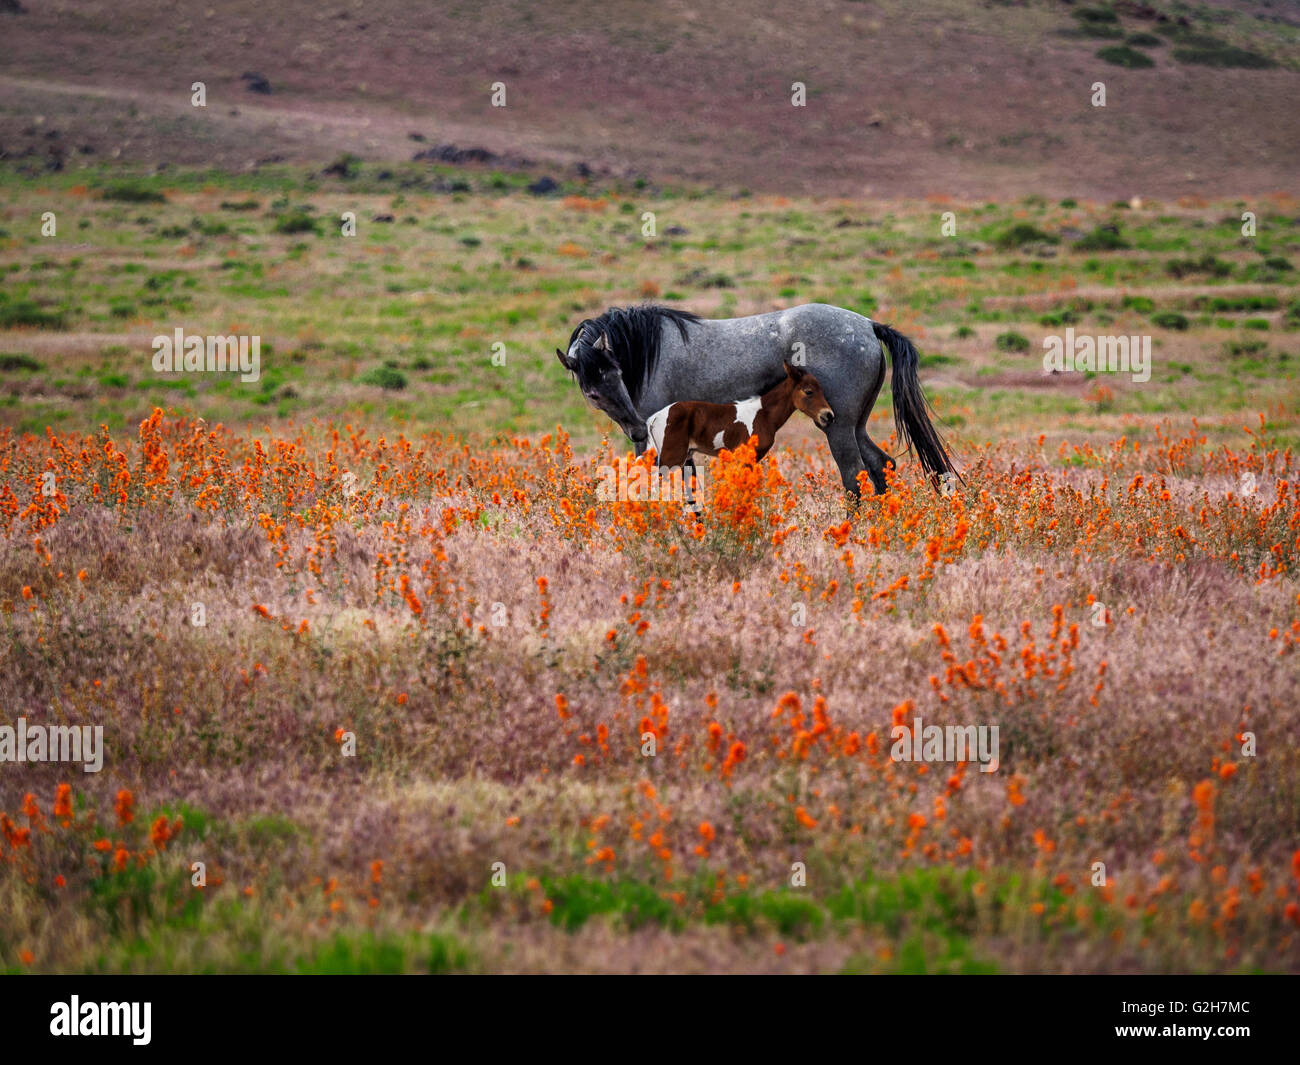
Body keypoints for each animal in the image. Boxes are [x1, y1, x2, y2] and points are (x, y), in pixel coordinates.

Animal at [644, 361, 837, 470]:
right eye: (809, 391)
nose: (828, 416)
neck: (764, 415)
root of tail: (654, 418)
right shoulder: (747, 457)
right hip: (671, 457)